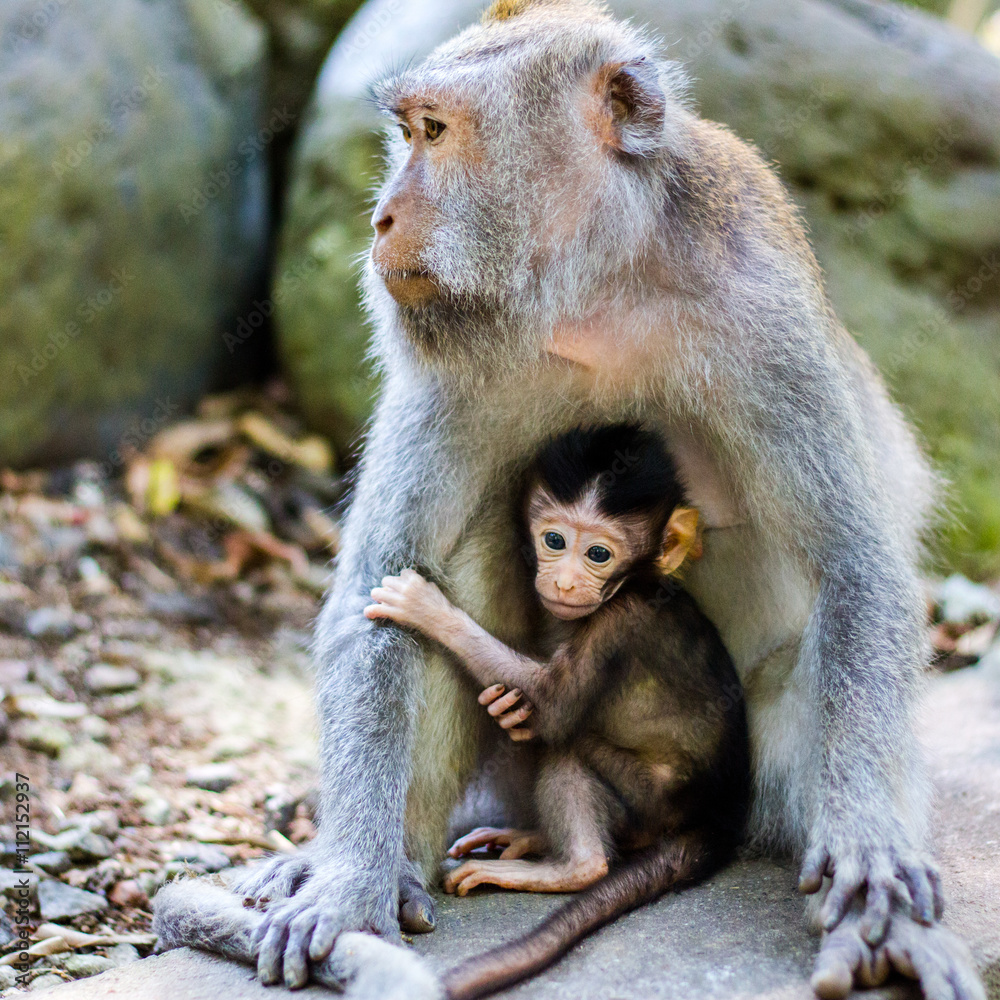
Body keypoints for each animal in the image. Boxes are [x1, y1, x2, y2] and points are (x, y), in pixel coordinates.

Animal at [361, 423, 751, 998]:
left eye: (598, 554)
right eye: (554, 541)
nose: (565, 583)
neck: (636, 584)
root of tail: (719, 815)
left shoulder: (619, 623)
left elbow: (551, 709)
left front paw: (428, 608)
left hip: (650, 802)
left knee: (570, 751)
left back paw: (570, 867)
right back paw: (530, 839)